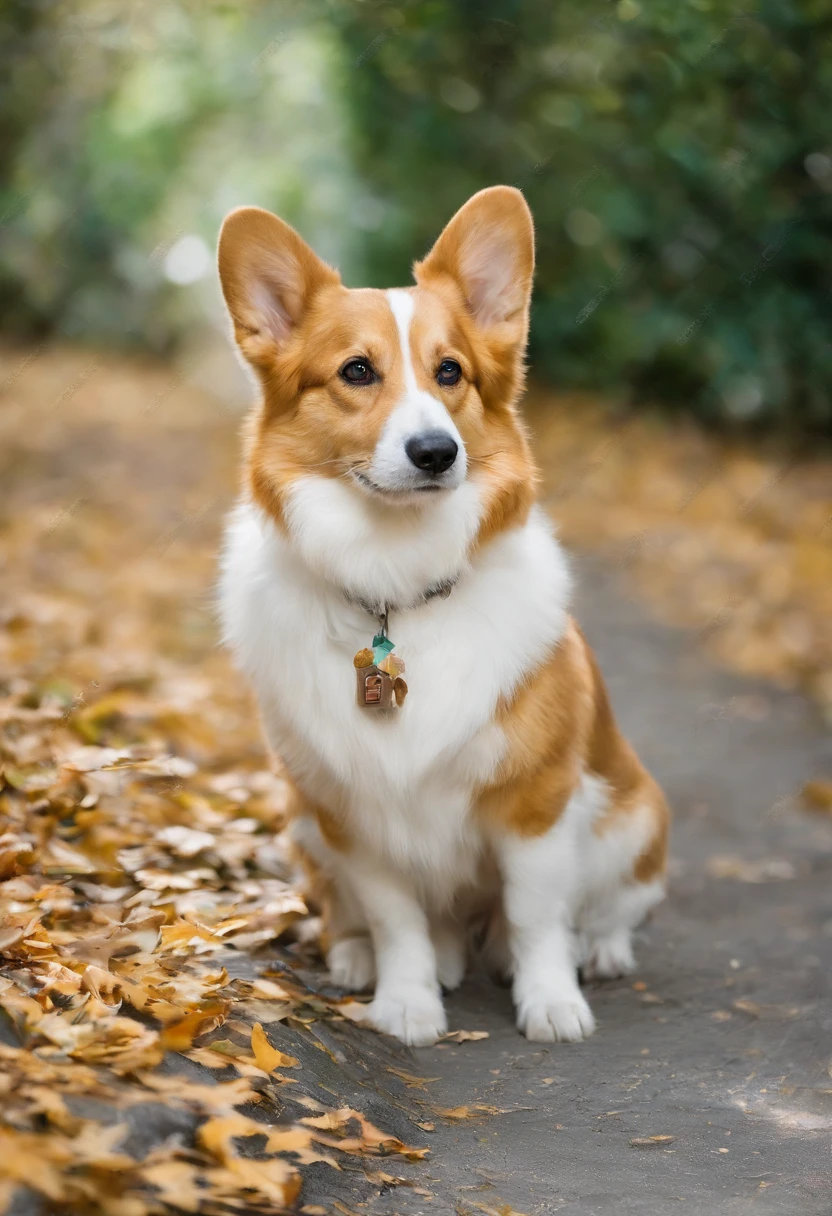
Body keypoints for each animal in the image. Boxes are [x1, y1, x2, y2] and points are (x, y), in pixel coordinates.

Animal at [216, 187, 671, 1045]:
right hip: (301, 822)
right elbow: (397, 921)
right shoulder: (352, 815)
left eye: (450, 371)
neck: (397, 583)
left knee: (606, 908)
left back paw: (597, 950)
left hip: (633, 817)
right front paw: (406, 1000)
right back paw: (364, 955)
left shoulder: (535, 805)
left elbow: (534, 916)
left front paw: (551, 1000)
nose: (436, 452)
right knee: (369, 917)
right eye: (357, 371)